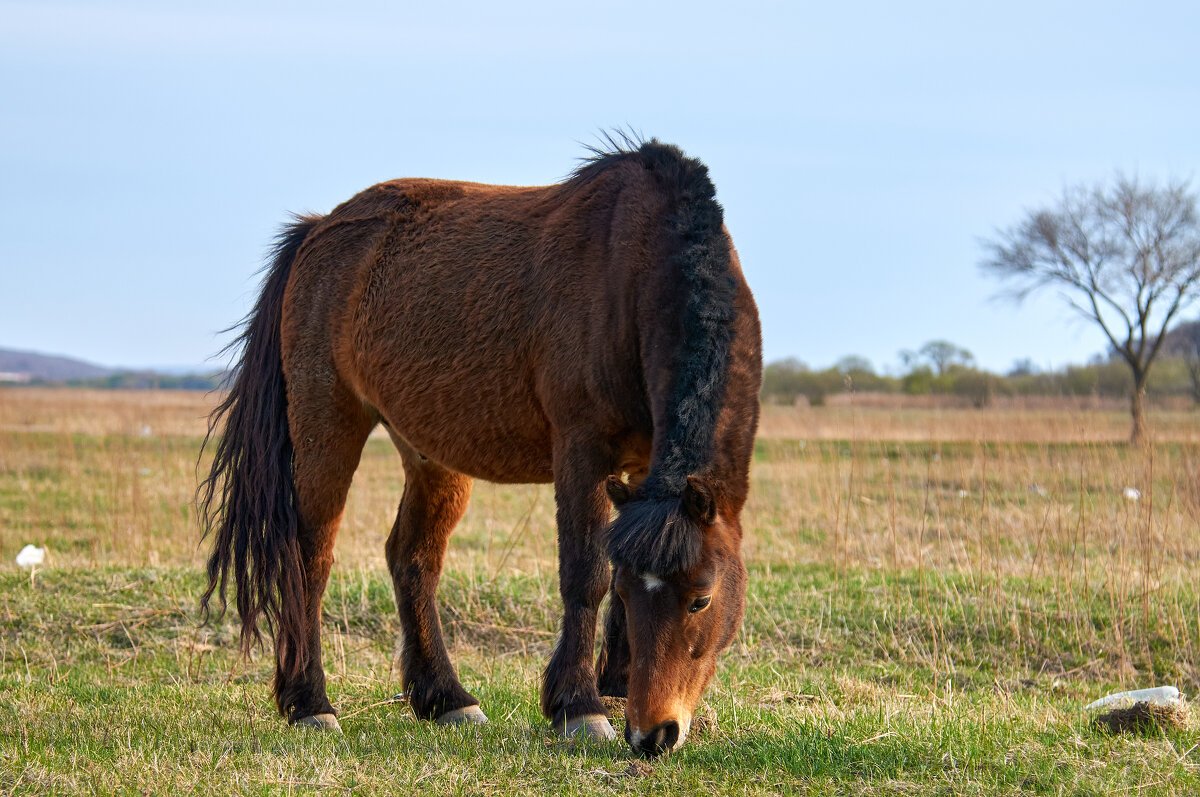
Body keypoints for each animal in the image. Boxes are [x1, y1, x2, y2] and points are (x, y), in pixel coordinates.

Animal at [195, 135, 758, 753]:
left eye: (701, 597)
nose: (653, 733)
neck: (634, 276)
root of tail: (319, 230)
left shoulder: (639, 474)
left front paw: (611, 688)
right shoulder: (582, 452)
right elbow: (586, 573)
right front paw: (579, 707)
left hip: (431, 455)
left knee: (412, 558)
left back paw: (446, 698)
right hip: (327, 426)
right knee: (309, 559)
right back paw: (309, 703)